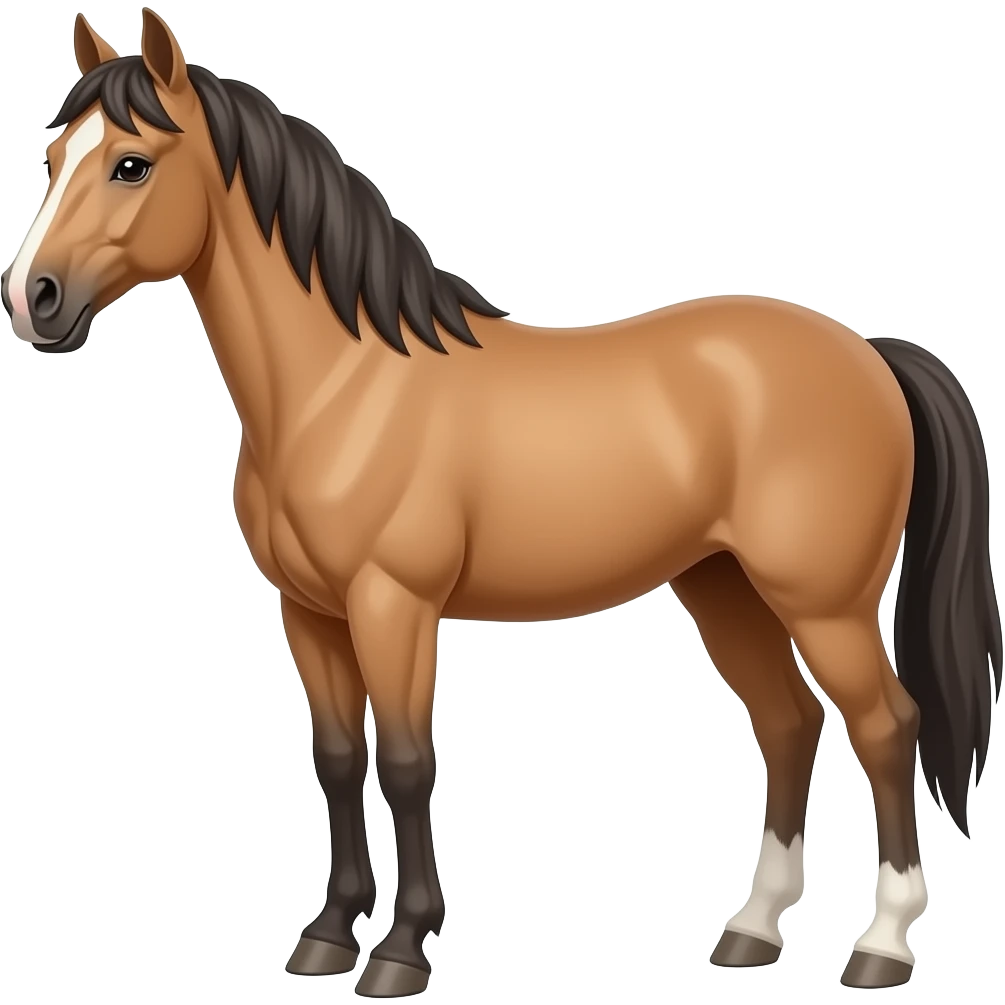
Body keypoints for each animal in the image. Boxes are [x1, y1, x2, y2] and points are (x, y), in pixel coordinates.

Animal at [3, 10, 1000, 996]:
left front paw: (400, 950)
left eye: (132, 164)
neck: (343, 385)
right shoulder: (308, 611)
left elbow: (407, 763)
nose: (32, 299)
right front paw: (325, 937)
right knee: (788, 723)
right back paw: (750, 930)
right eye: (55, 157)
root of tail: (868, 352)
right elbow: (337, 758)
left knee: (885, 725)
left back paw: (880, 945)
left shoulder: (393, 605)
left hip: (822, 603)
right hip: (724, 588)